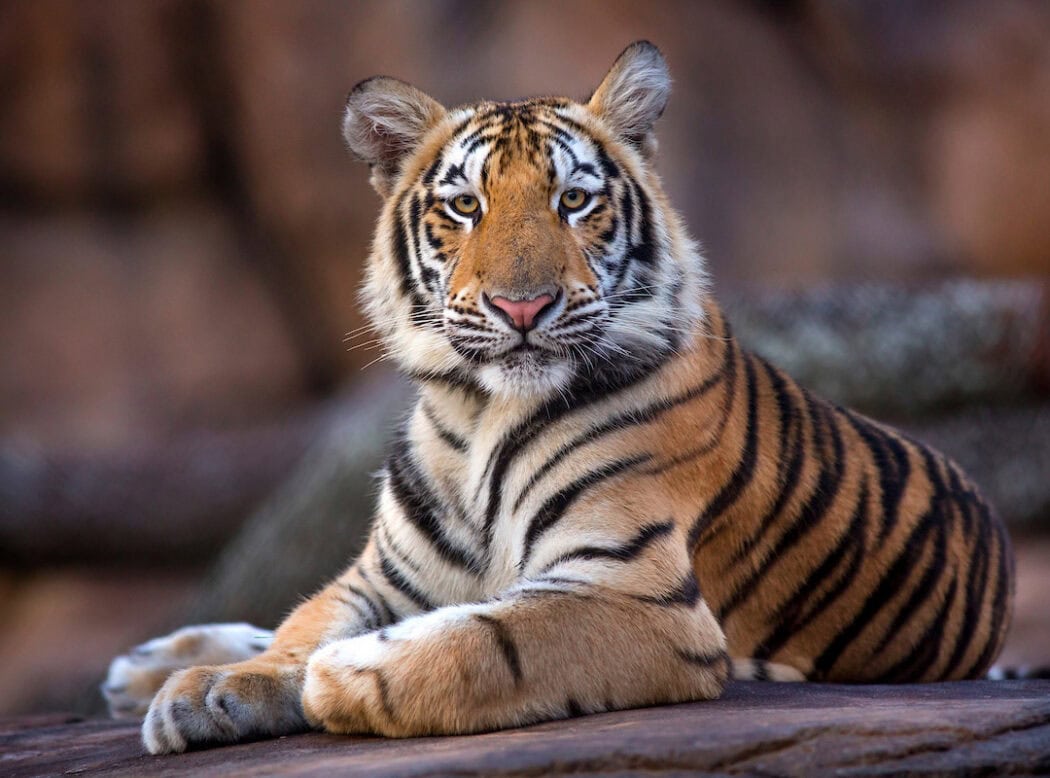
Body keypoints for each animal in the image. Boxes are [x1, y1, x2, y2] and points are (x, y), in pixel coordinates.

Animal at [103, 41, 1014, 755]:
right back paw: (147, 666)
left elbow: (485, 639)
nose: (522, 307)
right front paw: (209, 689)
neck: (476, 415)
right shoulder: (383, 575)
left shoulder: (635, 593)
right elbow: (304, 625)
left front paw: (348, 676)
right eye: (464, 206)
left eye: (574, 200)